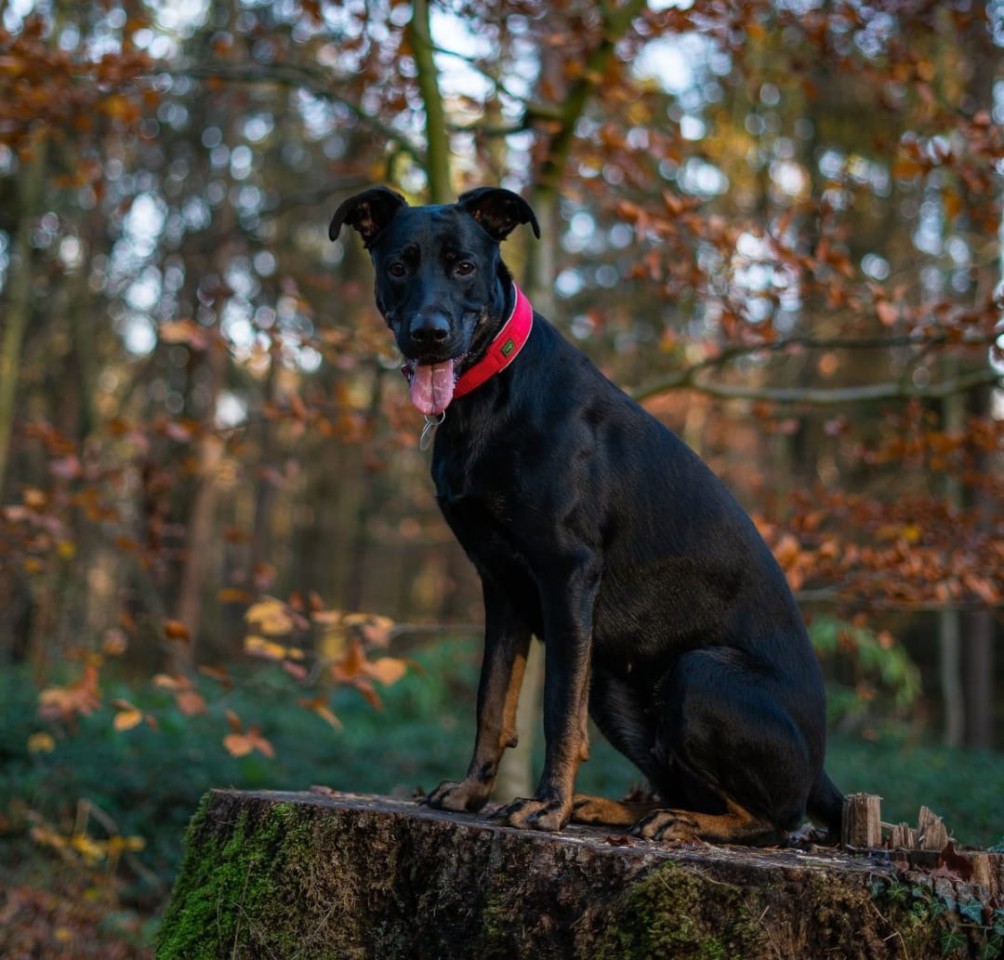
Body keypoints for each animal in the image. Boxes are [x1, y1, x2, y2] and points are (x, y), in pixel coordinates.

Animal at [329, 183, 839, 843]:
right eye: (398, 266)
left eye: (464, 266)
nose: (429, 334)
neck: (492, 391)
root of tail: (820, 770)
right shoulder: (502, 584)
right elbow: (491, 701)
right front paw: (472, 792)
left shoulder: (566, 575)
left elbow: (555, 711)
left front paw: (548, 807)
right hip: (614, 684)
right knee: (680, 782)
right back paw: (618, 809)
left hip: (699, 674)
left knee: (773, 819)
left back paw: (677, 821)